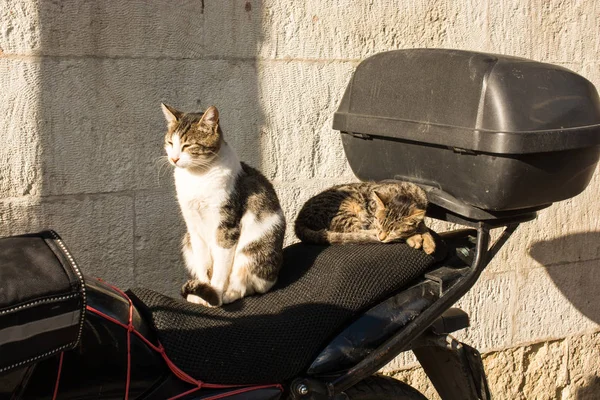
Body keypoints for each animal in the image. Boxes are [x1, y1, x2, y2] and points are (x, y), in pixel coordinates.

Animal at [162, 103, 286, 306]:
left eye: (188, 145)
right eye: (170, 143)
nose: (174, 159)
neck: (197, 177)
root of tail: (274, 275)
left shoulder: (226, 227)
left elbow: (220, 268)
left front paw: (215, 293)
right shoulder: (194, 228)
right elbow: (203, 265)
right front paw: (201, 292)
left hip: (252, 248)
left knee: (244, 285)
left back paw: (228, 294)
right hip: (187, 242)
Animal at [296, 181, 436, 253]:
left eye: (394, 230)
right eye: (379, 223)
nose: (381, 237)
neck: (405, 194)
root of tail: (298, 220)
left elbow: (422, 226)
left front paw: (428, 241)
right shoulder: (370, 219)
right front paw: (414, 237)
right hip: (344, 211)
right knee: (354, 231)